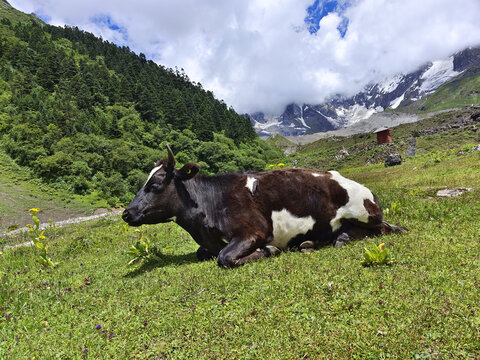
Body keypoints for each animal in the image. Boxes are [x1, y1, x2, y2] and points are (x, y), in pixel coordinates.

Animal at [121, 146, 404, 268]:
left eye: (155, 184)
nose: (126, 212)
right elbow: (204, 253)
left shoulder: (253, 231)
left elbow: (225, 258)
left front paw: (268, 250)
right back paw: (311, 242)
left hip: (365, 213)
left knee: (382, 229)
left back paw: (342, 238)